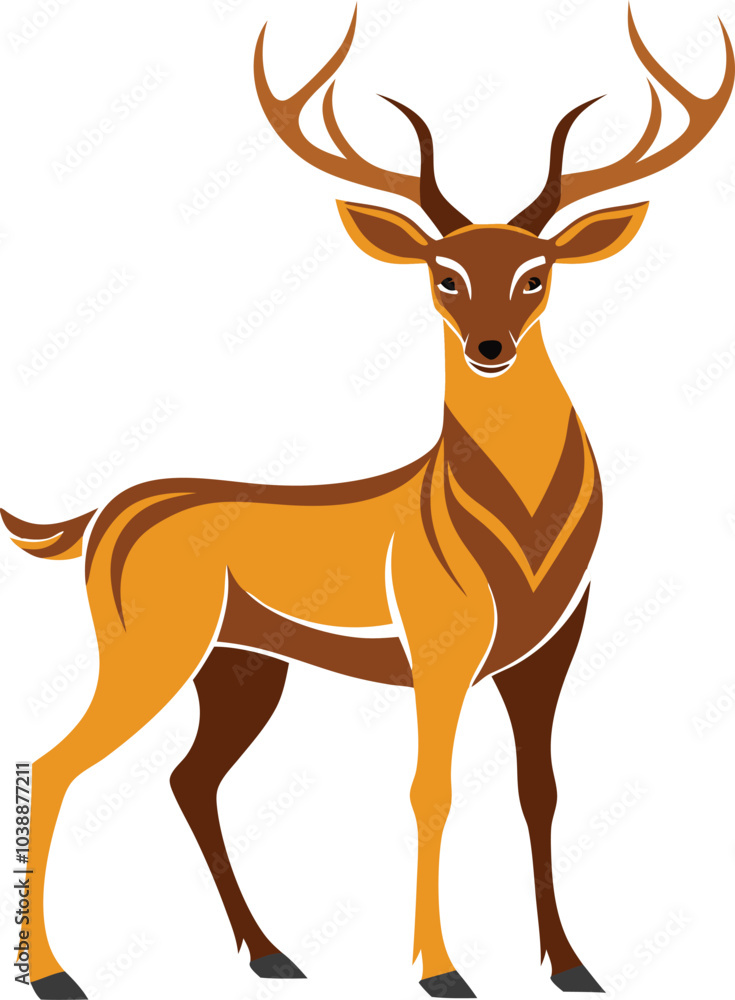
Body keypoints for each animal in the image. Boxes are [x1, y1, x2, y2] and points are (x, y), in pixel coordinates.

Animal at [5, 5, 732, 999]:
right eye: (443, 273)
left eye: (537, 271)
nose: (491, 346)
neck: (520, 533)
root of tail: (98, 518)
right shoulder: (440, 645)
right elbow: (432, 790)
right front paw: (441, 970)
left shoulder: (549, 651)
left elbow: (539, 790)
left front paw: (573, 965)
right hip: (150, 648)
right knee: (55, 762)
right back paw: (56, 973)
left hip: (242, 666)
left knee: (190, 779)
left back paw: (273, 954)